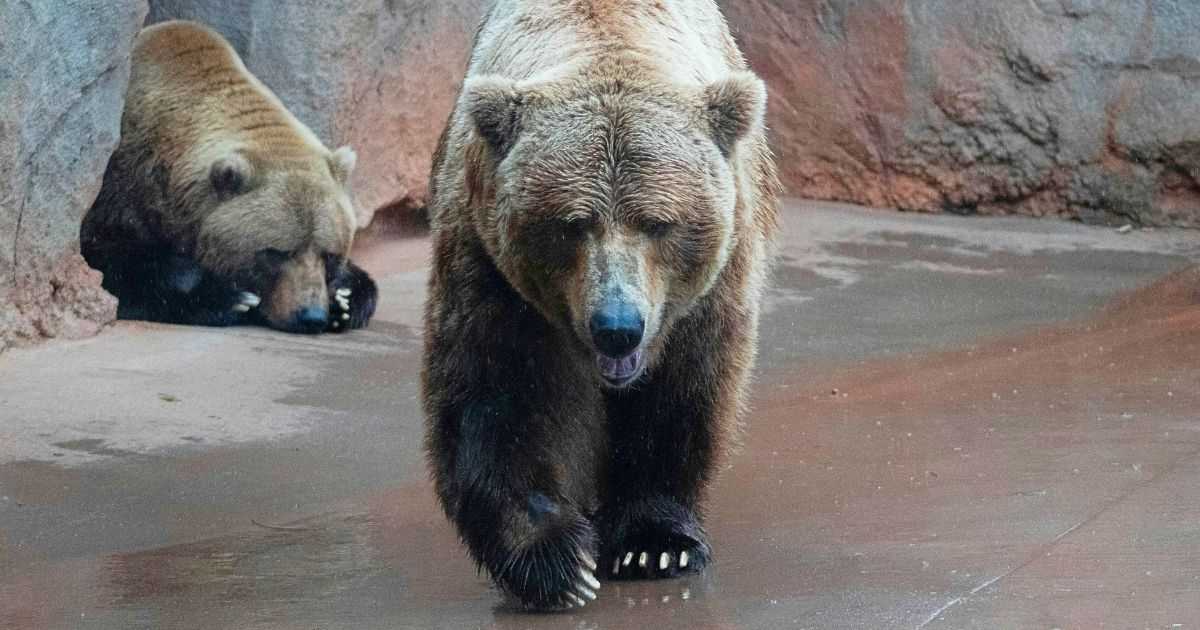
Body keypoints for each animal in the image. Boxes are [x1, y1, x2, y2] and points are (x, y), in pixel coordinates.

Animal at [81, 20, 377, 334]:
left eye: (330, 254)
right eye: (276, 252)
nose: (311, 316)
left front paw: (345, 300)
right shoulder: (120, 187)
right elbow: (112, 263)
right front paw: (227, 298)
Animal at [422, 0, 779, 610]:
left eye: (658, 223)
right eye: (572, 224)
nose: (617, 326)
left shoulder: (713, 284)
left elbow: (684, 391)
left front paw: (653, 543)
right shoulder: (487, 265)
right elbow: (495, 397)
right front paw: (557, 563)